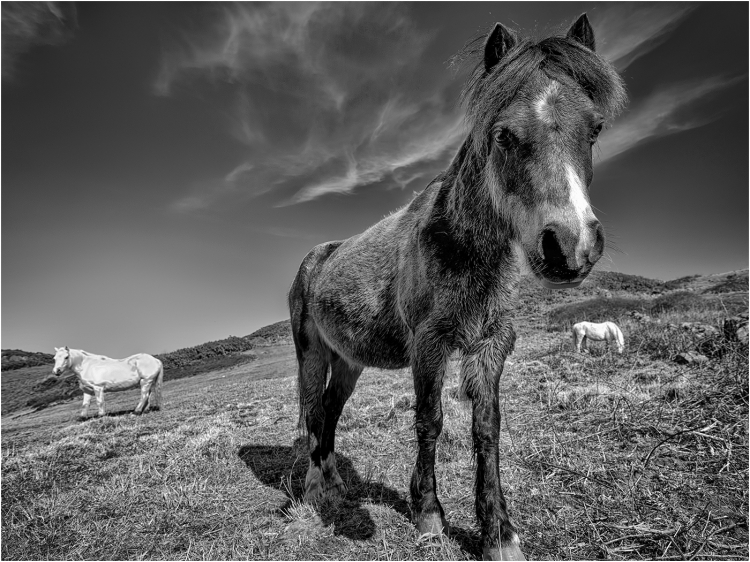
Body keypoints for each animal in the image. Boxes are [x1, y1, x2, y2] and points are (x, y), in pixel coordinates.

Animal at [290, 15, 628, 556]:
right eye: (504, 135)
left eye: (594, 130)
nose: (570, 244)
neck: (461, 247)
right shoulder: (430, 347)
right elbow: (430, 420)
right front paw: (428, 513)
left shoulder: (490, 345)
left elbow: (486, 429)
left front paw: (499, 533)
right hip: (313, 355)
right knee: (313, 414)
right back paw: (315, 488)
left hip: (348, 362)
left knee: (331, 410)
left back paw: (335, 481)